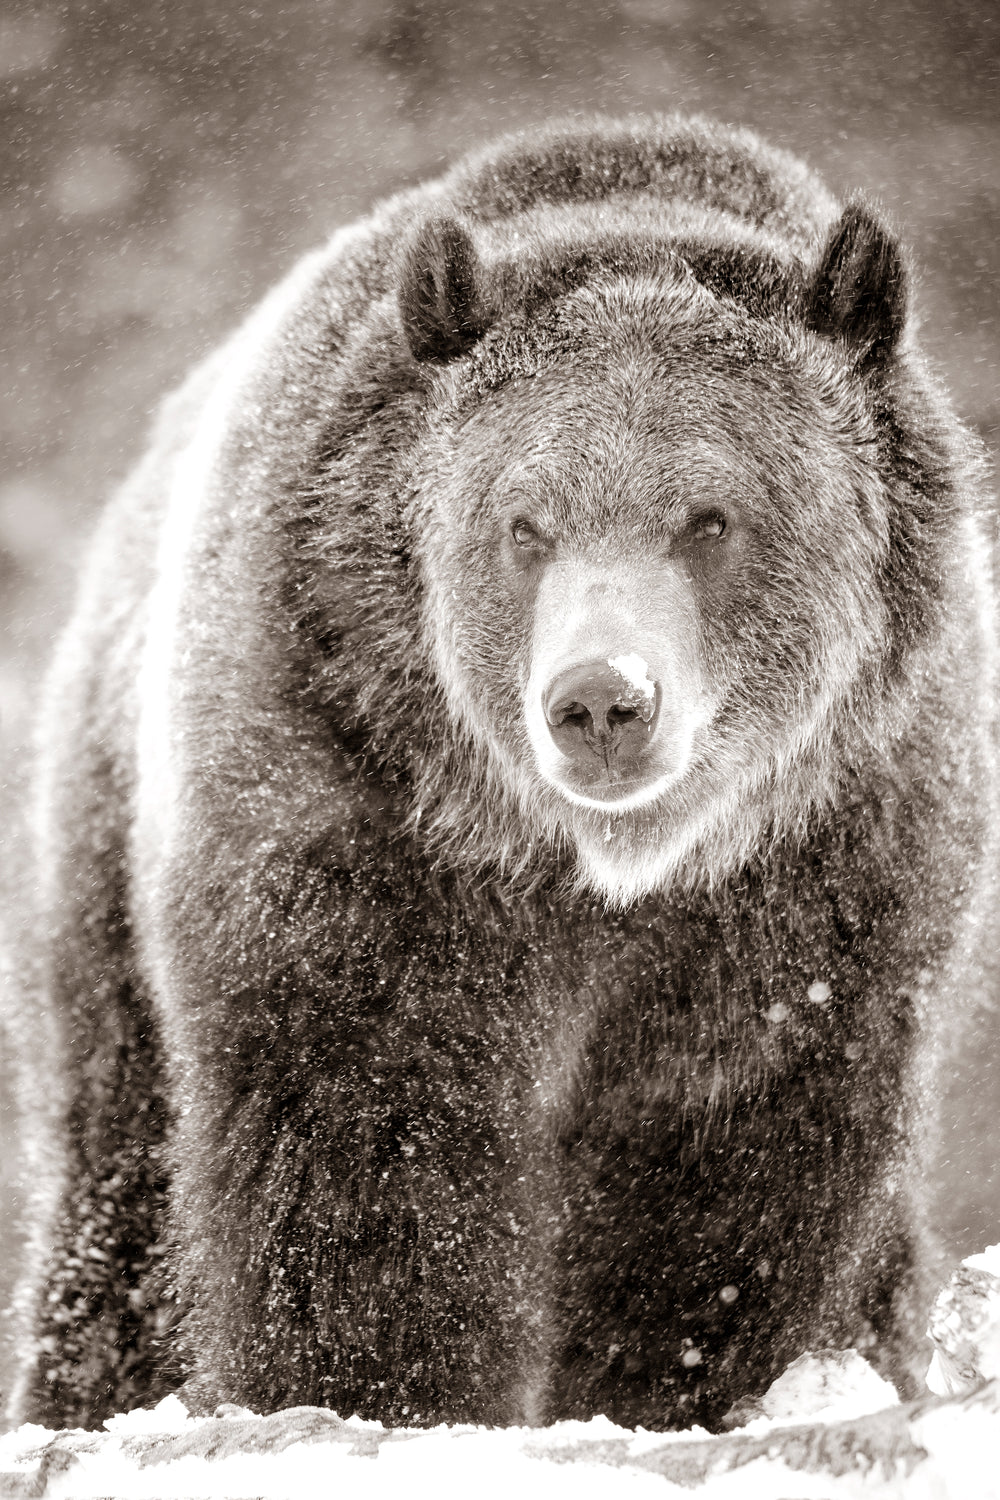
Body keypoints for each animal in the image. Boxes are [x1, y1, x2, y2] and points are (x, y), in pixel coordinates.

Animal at [6, 113, 997, 1435]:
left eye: (712, 517)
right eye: (523, 524)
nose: (600, 701)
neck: (600, 874)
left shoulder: (827, 867)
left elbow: (731, 1163)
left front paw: (671, 1380)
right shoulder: (352, 801)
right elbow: (361, 1133)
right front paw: (371, 1389)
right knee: (117, 1167)